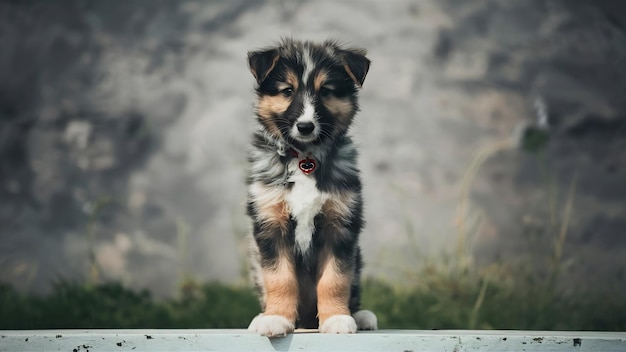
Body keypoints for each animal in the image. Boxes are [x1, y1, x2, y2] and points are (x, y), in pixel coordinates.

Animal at [245, 37, 376, 336]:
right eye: (287, 90)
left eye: (325, 91)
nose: (305, 126)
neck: (305, 157)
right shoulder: (271, 223)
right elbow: (279, 278)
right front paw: (276, 318)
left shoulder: (340, 224)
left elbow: (335, 279)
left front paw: (336, 318)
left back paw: (360, 316)